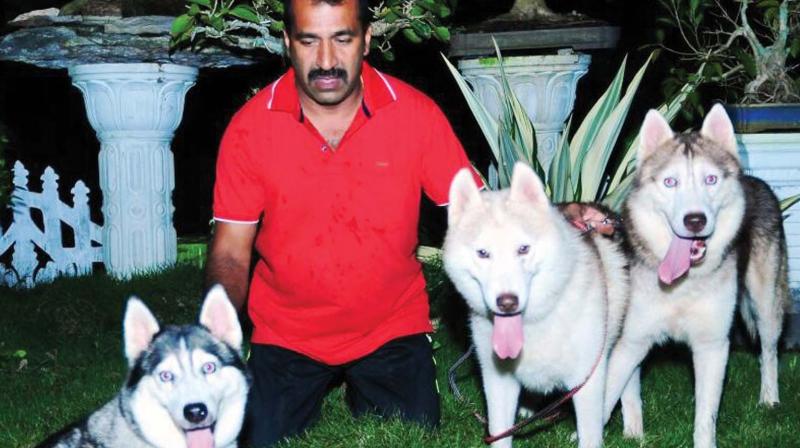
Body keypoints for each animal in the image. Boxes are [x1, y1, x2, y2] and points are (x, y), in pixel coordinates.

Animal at [444, 164, 624, 448]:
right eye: (483, 253)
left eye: (523, 249)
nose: (507, 302)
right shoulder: (497, 382)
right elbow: (499, 433)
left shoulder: (588, 381)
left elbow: (590, 433)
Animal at [608, 104, 788, 448]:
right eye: (670, 182)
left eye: (711, 179)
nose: (695, 220)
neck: (683, 284)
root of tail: (755, 181)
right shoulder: (632, 340)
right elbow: (614, 396)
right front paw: (631, 434)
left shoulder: (713, 345)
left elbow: (706, 417)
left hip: (766, 306)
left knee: (769, 354)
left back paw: (770, 399)